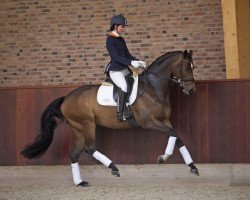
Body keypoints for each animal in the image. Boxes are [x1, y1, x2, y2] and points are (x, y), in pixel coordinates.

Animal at [21, 49, 198, 186]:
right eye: (186, 67)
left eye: (193, 67)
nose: (191, 90)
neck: (153, 88)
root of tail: (66, 98)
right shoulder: (148, 122)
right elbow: (172, 133)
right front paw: (163, 157)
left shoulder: (164, 120)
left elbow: (176, 136)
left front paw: (192, 166)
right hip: (87, 123)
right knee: (89, 148)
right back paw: (113, 168)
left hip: (78, 127)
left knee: (75, 153)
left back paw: (80, 182)